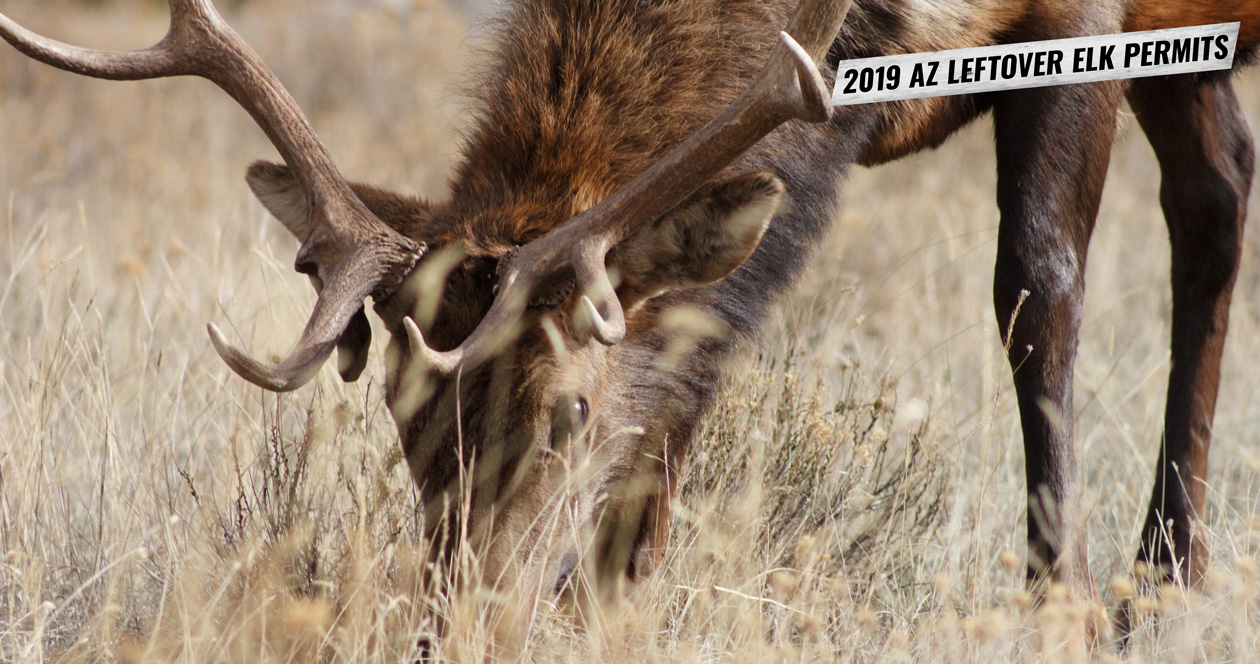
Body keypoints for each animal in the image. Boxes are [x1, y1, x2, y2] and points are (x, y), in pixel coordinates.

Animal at [2, 0, 1257, 631]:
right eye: (409, 422)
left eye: (565, 415)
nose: (457, 620)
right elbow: (689, 379)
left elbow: (1037, 286)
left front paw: (1064, 607)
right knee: (1220, 187)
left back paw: (1164, 577)